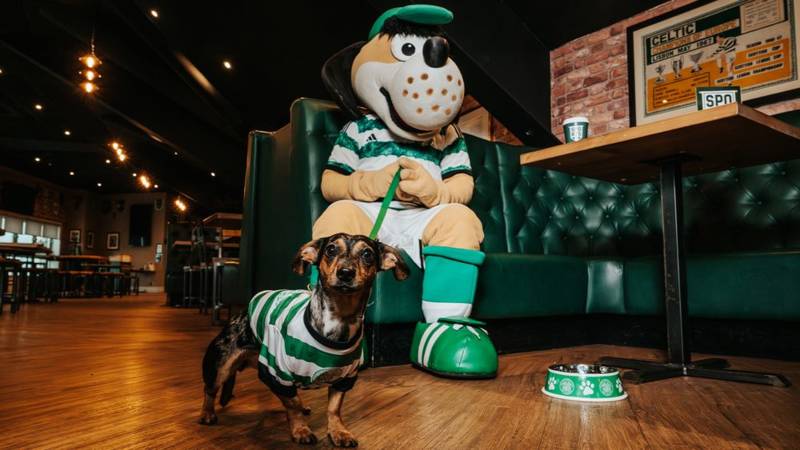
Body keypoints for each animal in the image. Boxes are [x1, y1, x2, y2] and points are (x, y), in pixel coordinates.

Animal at [198, 234, 410, 448]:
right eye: (331, 250)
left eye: (367, 254)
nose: (345, 273)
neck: (340, 317)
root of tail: (241, 313)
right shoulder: (276, 371)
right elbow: (293, 404)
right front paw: (301, 429)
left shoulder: (345, 379)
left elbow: (334, 409)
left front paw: (338, 431)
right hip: (221, 367)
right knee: (210, 389)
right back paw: (207, 414)